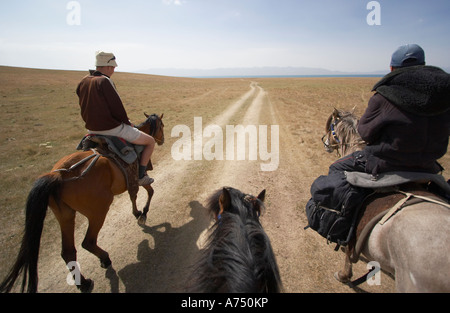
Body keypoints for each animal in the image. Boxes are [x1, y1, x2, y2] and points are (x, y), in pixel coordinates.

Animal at [0, 112, 165, 292]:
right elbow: (148, 191)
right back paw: (104, 259)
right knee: (88, 242)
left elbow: (134, 196)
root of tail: (58, 176)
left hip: (64, 216)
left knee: (68, 251)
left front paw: (137, 213)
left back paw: (83, 282)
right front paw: (142, 214)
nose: (162, 140)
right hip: (98, 211)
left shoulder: (131, 181)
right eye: (162, 126)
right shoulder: (138, 176)